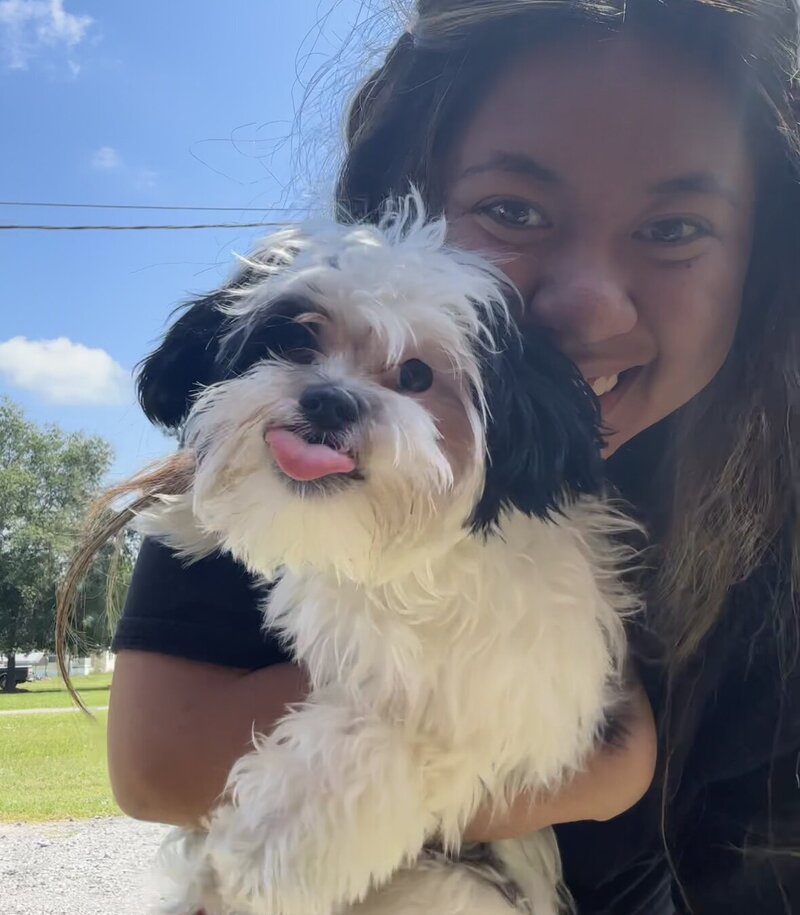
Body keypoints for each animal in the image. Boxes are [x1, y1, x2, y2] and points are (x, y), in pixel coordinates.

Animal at [138, 195, 636, 915]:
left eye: (418, 375)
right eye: (295, 341)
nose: (330, 399)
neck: (390, 559)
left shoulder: (520, 694)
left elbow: (390, 734)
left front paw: (267, 849)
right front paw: (186, 515)